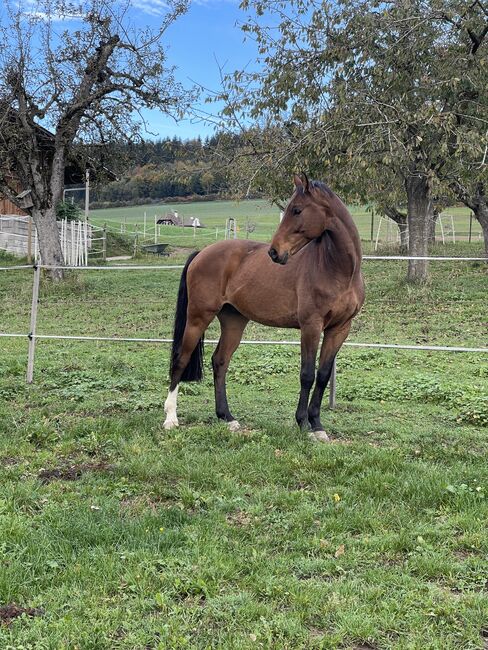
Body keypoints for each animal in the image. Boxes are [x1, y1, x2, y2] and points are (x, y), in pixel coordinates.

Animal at [163, 174, 365, 442]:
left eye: (297, 210)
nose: (274, 252)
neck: (336, 269)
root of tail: (201, 253)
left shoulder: (339, 329)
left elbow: (322, 376)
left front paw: (318, 425)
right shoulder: (310, 326)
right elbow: (307, 375)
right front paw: (303, 424)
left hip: (234, 322)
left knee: (220, 361)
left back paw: (227, 418)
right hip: (198, 317)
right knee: (180, 359)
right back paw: (171, 418)